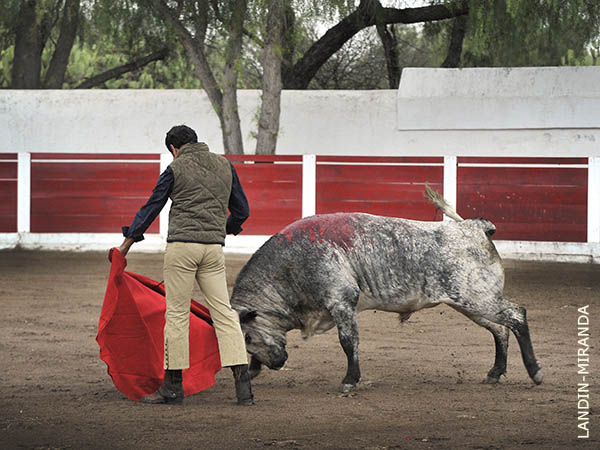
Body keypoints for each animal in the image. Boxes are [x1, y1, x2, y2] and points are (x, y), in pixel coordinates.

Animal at [230, 188, 544, 392]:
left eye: (248, 336)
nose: (274, 364)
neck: (290, 265)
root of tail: (474, 227)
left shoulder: (342, 301)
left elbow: (348, 342)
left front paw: (349, 381)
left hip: (476, 297)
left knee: (516, 316)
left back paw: (535, 372)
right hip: (471, 302)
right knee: (500, 329)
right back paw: (495, 373)